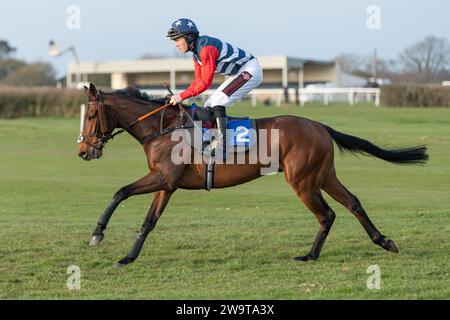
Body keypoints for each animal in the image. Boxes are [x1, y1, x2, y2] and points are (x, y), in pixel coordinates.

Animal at [77, 84, 428, 266]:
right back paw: (382, 241)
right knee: (352, 203)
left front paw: (97, 233)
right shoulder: (167, 183)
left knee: (327, 213)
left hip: (302, 181)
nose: (83, 151)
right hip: (323, 175)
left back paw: (310, 255)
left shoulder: (163, 178)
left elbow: (120, 192)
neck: (163, 128)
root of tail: (319, 125)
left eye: (91, 114)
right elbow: (148, 222)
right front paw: (128, 257)